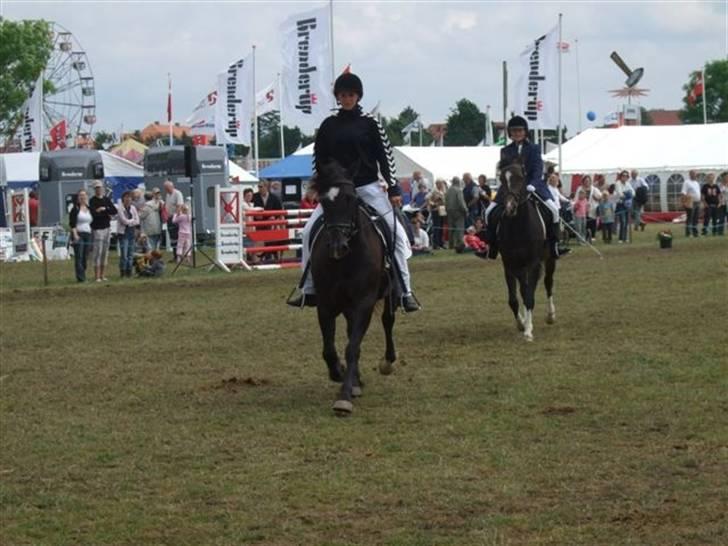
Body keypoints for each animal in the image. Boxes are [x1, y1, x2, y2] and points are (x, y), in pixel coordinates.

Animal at [500, 155, 556, 340]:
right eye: (501, 180)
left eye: (520, 178)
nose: (510, 207)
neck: (519, 226)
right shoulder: (509, 265)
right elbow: (515, 298)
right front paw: (522, 324)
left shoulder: (533, 263)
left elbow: (529, 296)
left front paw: (528, 330)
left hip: (550, 259)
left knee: (548, 282)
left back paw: (550, 315)